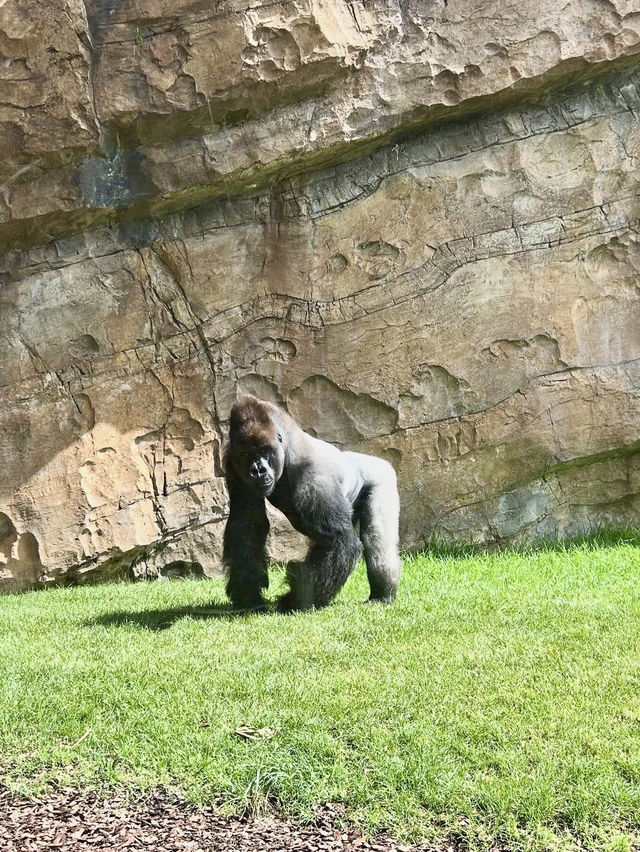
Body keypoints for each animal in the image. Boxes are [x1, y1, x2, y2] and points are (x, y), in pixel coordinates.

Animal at [221, 396, 400, 608]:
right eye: (247, 454)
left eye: (265, 451)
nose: (258, 470)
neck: (288, 446)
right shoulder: (232, 463)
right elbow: (247, 526)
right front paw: (249, 595)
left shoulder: (314, 478)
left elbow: (338, 541)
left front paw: (293, 600)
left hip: (383, 477)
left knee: (377, 540)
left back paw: (382, 594)